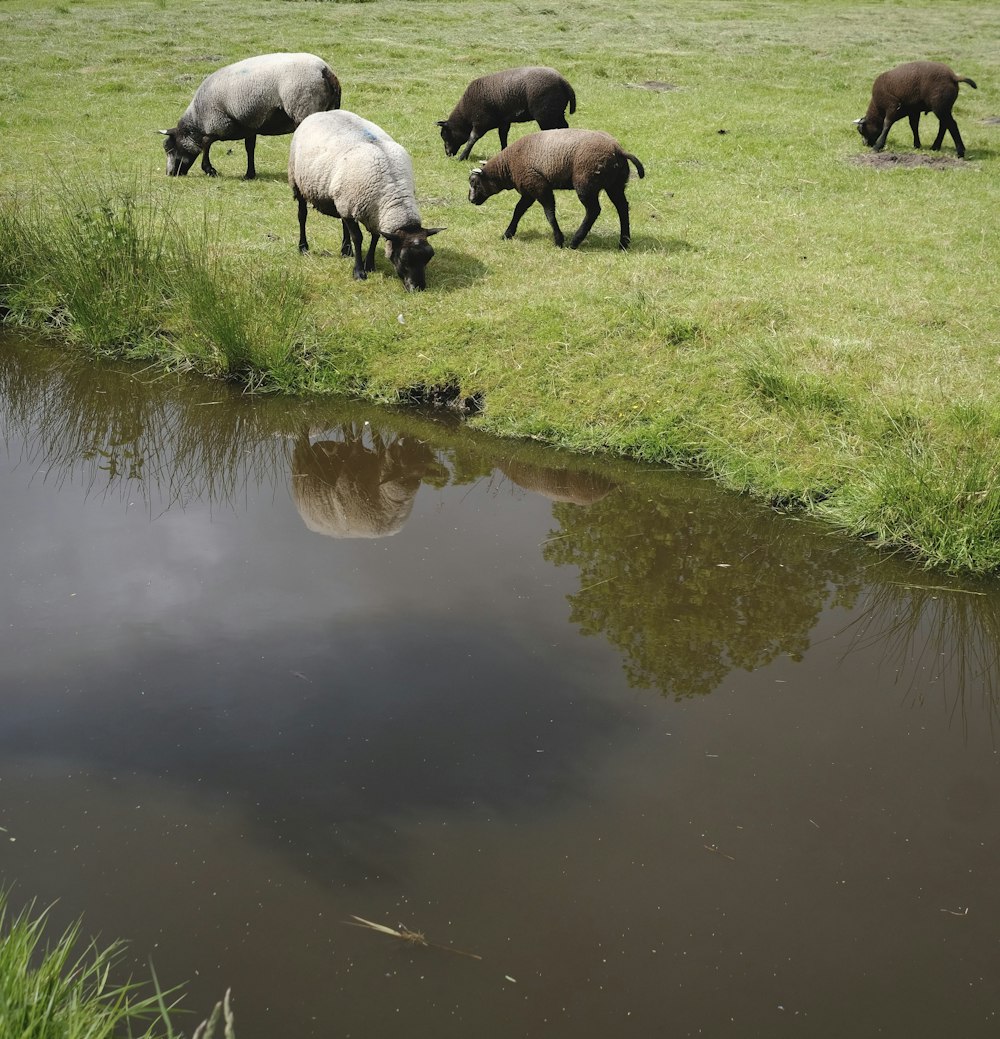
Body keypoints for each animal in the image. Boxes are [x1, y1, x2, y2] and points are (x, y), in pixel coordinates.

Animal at [159, 52, 338, 178]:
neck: (197, 118)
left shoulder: (219, 122)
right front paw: (249, 174)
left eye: (169, 147)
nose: (170, 174)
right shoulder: (249, 125)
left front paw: (209, 169)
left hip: (304, 106)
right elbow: (249, 147)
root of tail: (324, 69)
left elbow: (206, 142)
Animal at [288, 109, 444, 292]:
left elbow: (375, 237)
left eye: (428, 257)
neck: (392, 187)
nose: (418, 288)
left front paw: (369, 264)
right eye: (403, 259)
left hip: (343, 198)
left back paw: (346, 250)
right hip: (298, 182)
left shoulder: (374, 212)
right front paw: (359, 272)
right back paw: (303, 247)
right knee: (302, 215)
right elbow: (358, 237)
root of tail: (322, 112)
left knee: (343, 222)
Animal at [434, 64, 573, 160]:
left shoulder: (481, 122)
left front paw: (462, 157)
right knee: (564, 127)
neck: (465, 115)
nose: (448, 154)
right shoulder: (504, 122)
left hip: (545, 116)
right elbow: (503, 136)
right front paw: (503, 152)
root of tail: (563, 82)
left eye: (445, 135)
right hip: (557, 113)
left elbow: (472, 138)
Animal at [469, 128, 648, 250]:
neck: (508, 166)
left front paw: (558, 240)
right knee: (622, 207)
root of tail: (618, 149)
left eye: (474, 183)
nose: (470, 200)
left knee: (593, 210)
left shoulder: (538, 185)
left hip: (586, 183)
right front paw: (507, 234)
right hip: (615, 184)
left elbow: (549, 213)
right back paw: (624, 243)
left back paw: (574, 242)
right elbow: (518, 210)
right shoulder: (529, 190)